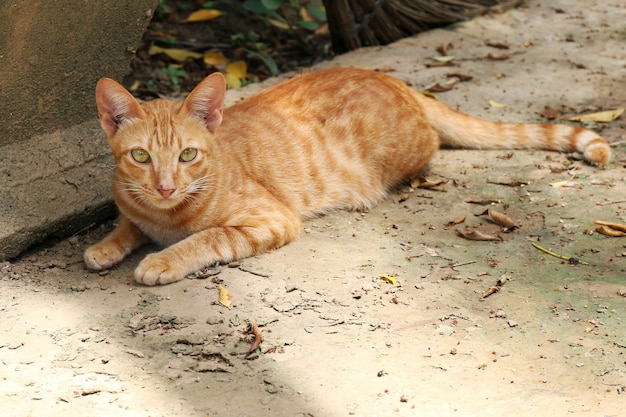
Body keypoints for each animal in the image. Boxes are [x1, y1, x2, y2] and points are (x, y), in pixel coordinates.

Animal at [83, 66, 608, 284]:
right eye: (141, 157)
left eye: (188, 154)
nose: (166, 185)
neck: (165, 215)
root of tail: (396, 79)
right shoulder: (132, 204)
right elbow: (126, 223)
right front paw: (106, 246)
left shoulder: (272, 219)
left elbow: (206, 238)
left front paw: (162, 260)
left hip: (407, 151)